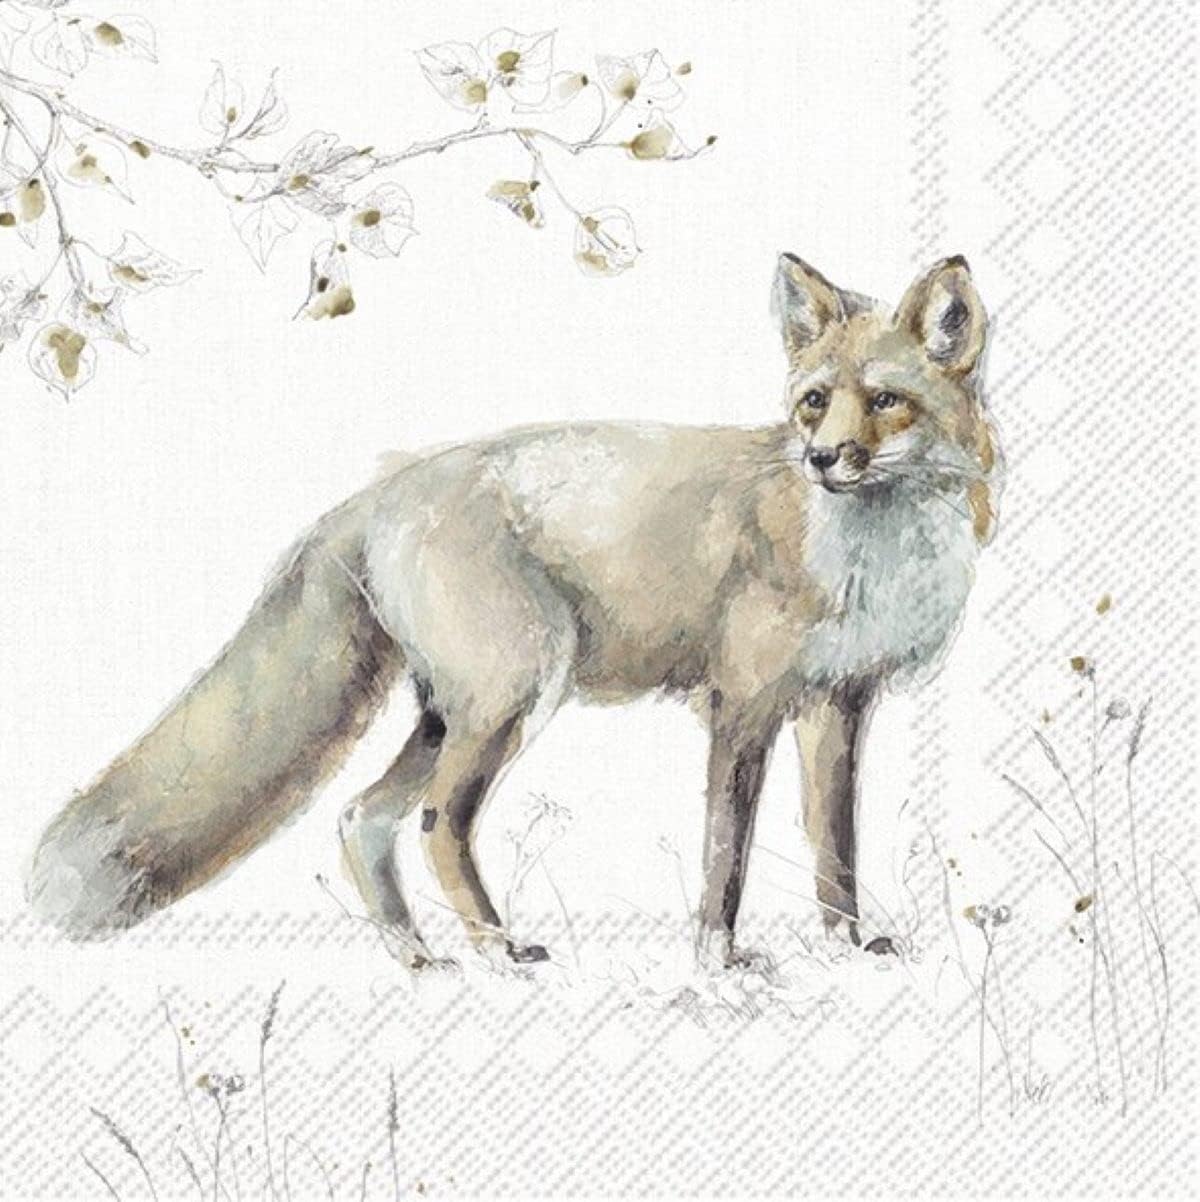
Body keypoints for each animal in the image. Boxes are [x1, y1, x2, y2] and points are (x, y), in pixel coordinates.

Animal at [27, 252, 1000, 970]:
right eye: (813, 402)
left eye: (885, 401)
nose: (823, 458)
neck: (867, 555)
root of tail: (380, 489)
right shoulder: (743, 704)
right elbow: (726, 857)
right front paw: (719, 963)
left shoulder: (839, 703)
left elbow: (835, 843)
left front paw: (852, 946)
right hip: (513, 695)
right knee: (436, 823)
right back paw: (497, 948)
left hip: (451, 711)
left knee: (361, 817)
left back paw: (417, 960)